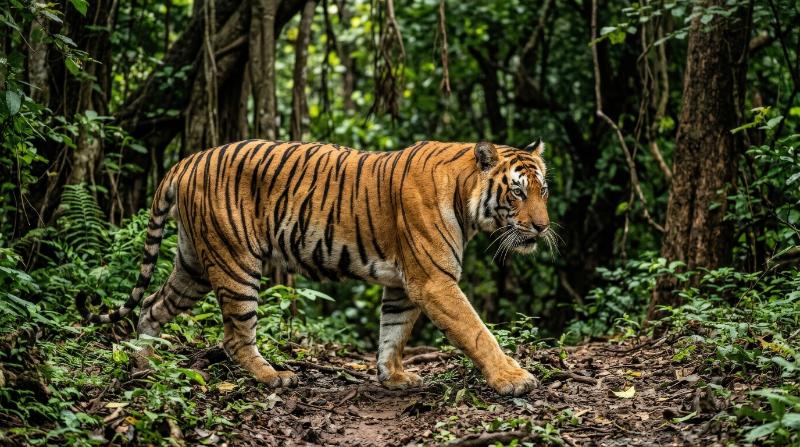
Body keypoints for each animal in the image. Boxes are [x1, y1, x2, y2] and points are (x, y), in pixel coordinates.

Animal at [77, 139, 551, 396]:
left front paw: (394, 378)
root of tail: (187, 160)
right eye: (517, 192)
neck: (466, 199)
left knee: (152, 307)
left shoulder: (403, 285)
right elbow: (477, 331)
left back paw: (145, 365)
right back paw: (272, 376)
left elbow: (393, 333)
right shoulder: (433, 281)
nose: (543, 227)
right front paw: (513, 378)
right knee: (234, 336)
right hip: (236, 263)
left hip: (193, 263)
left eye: (543, 190)